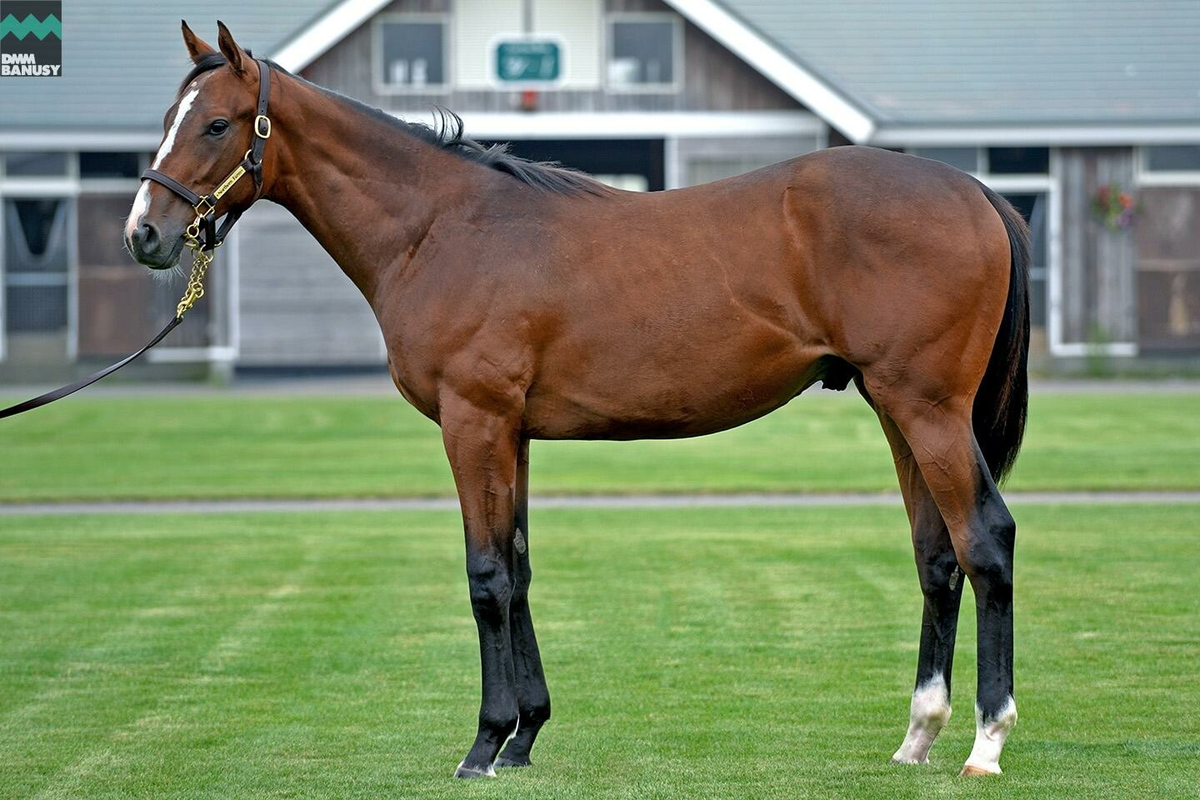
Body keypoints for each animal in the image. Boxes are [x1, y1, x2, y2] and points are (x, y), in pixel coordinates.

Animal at [125, 22, 1030, 779]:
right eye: (167, 115)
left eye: (216, 125)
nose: (145, 234)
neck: (440, 227)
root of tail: (973, 191)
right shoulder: (512, 433)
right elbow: (520, 568)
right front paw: (525, 734)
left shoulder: (475, 423)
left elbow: (486, 576)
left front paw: (484, 744)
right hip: (897, 411)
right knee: (936, 554)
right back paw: (918, 734)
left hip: (927, 410)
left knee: (985, 541)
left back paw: (986, 742)